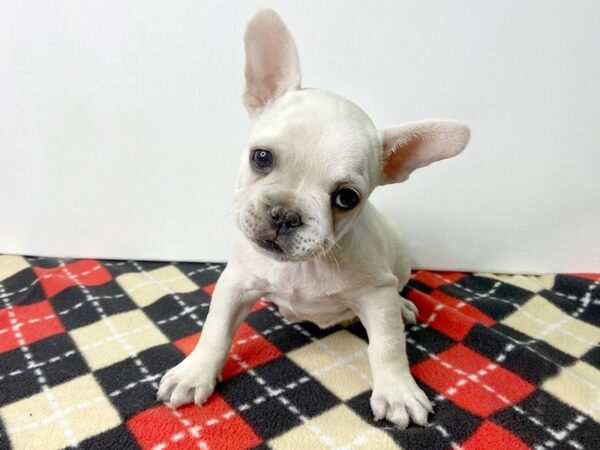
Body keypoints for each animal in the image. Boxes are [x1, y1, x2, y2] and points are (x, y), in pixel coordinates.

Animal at [156, 8, 468, 428]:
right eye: (261, 157)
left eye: (347, 197)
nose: (285, 214)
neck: (303, 266)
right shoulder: (236, 283)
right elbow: (216, 330)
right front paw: (195, 372)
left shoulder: (376, 294)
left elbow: (387, 347)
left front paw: (398, 391)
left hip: (400, 259)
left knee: (398, 293)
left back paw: (403, 308)